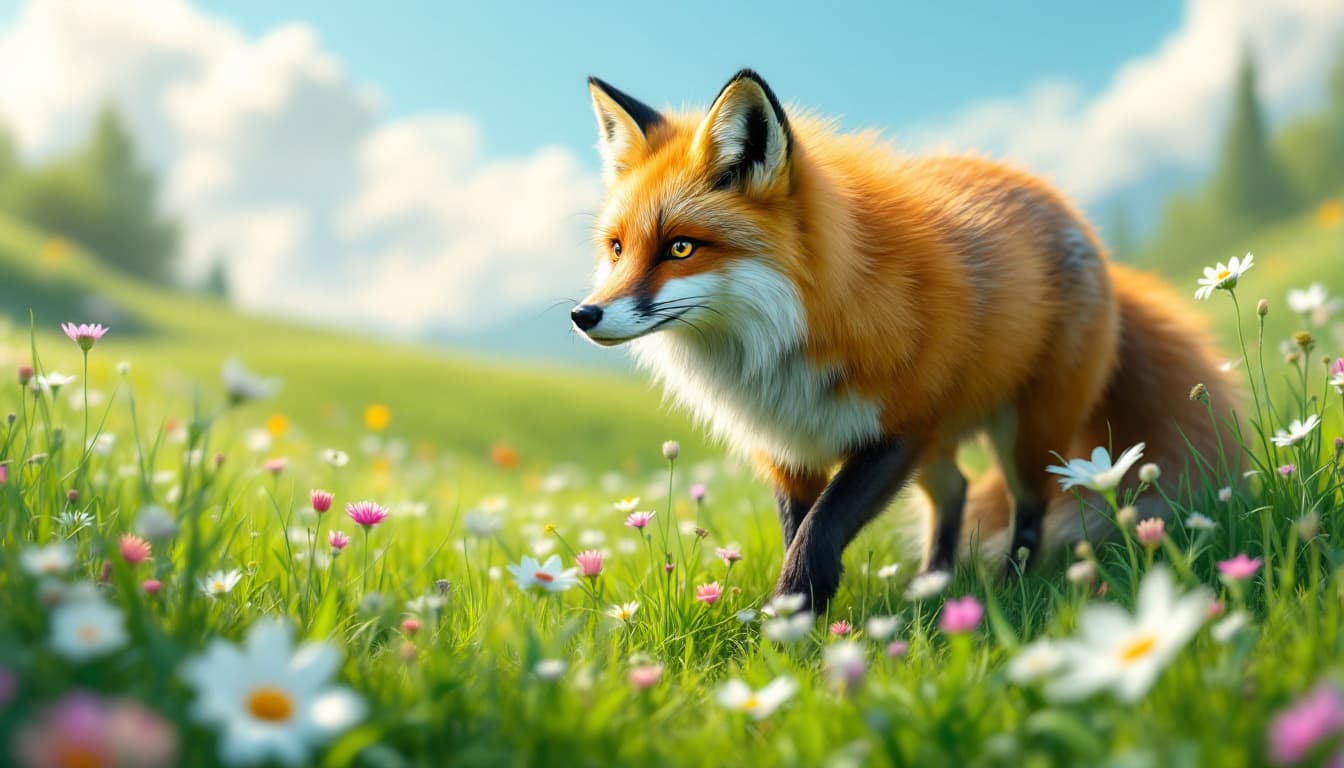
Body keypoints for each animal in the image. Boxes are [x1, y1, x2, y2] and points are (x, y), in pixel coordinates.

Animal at [571, 69, 1235, 611]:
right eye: (617, 248)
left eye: (680, 247)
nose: (584, 315)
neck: (779, 347)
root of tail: (1081, 224)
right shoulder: (791, 452)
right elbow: (799, 530)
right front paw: (796, 623)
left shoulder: (897, 430)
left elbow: (819, 533)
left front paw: (789, 622)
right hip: (944, 446)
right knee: (956, 491)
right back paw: (934, 586)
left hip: (1024, 433)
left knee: (1030, 507)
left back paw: (1011, 589)